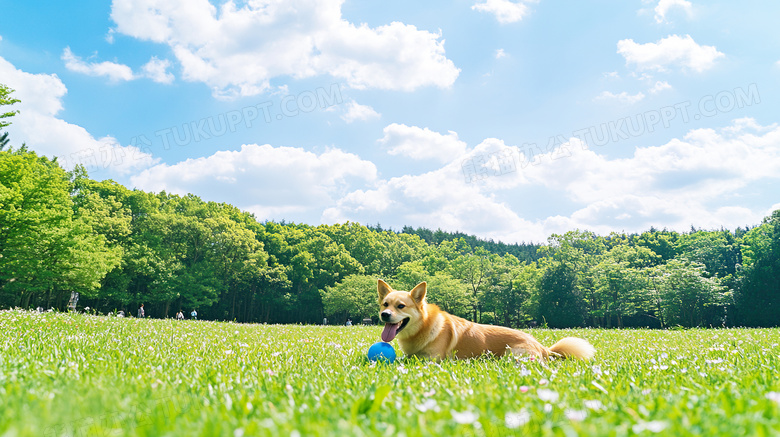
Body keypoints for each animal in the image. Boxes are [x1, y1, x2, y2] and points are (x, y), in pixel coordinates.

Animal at [374, 278, 596, 360]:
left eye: (401, 306)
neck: (424, 327)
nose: (385, 315)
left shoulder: (431, 360)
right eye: (385, 304)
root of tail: (543, 348)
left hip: (512, 354)